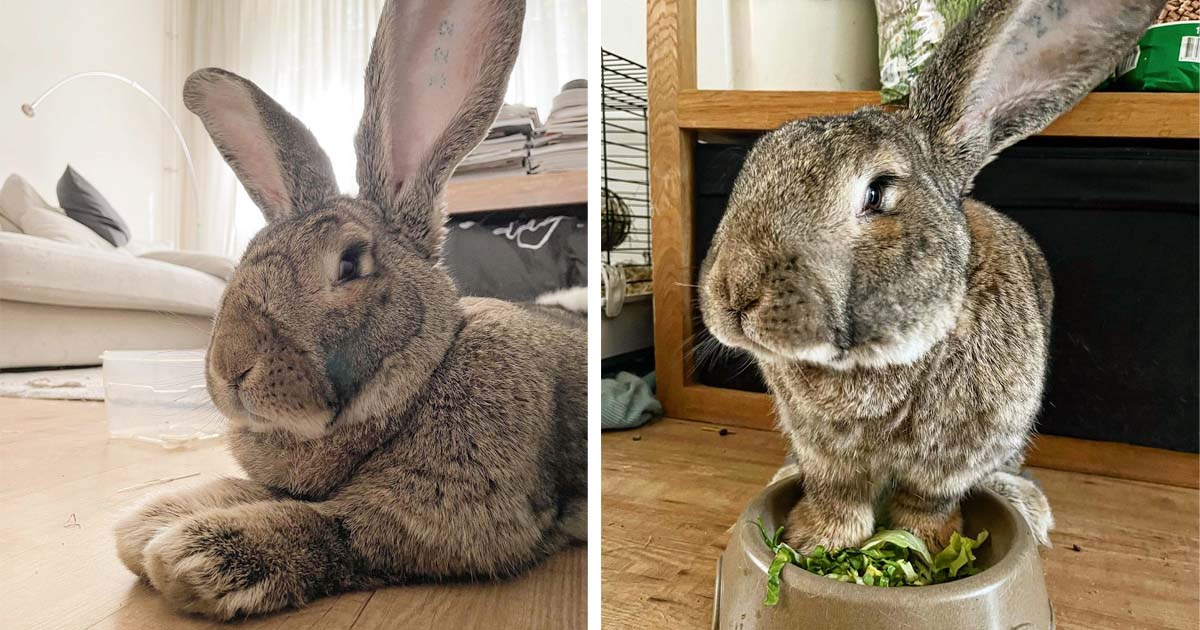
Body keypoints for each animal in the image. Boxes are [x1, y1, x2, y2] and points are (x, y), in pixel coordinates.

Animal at [113, 0, 586, 620]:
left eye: (350, 262)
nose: (230, 365)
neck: (420, 383)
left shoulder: (439, 519)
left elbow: (325, 525)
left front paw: (195, 553)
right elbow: (255, 490)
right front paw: (148, 522)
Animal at [699, 0, 1163, 554]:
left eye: (876, 193)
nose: (734, 295)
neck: (875, 361)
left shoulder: (955, 457)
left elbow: (927, 500)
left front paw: (928, 543)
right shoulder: (823, 453)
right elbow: (837, 495)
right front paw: (815, 541)